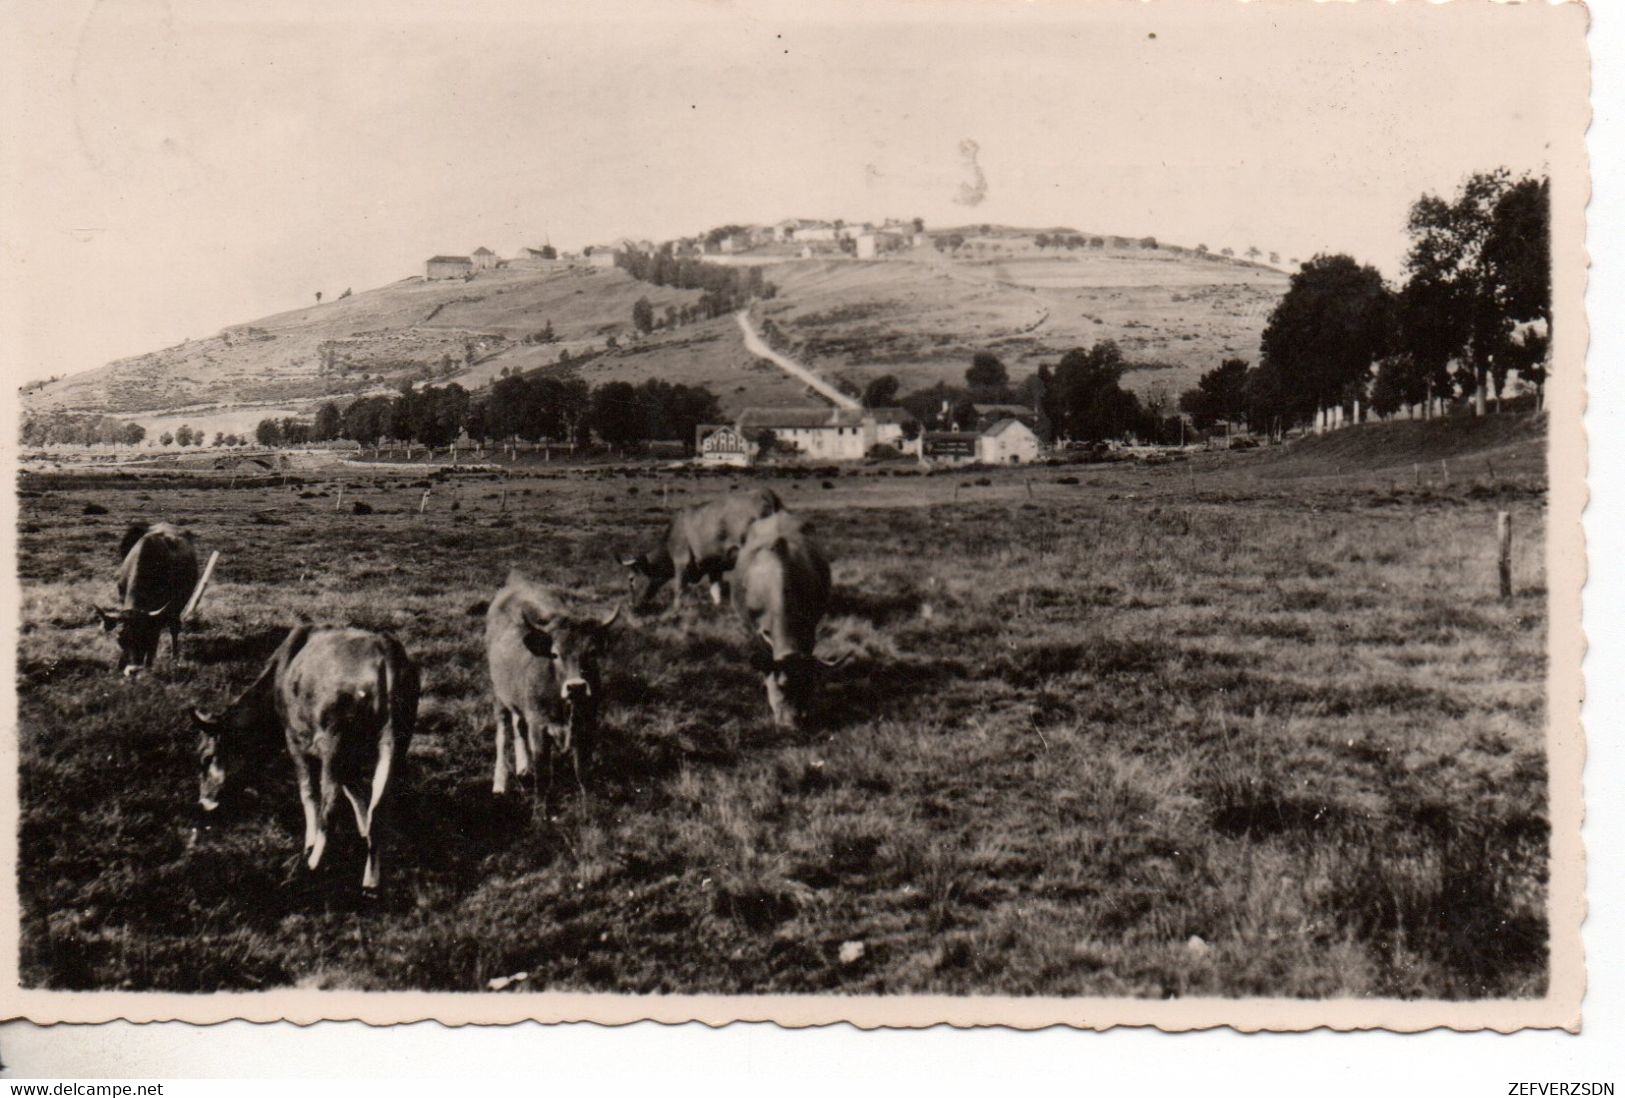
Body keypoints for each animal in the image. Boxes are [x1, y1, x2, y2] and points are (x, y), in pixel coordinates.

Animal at [95, 519, 200, 672]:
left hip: (178, 607)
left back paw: (174, 656)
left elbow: (155, 638)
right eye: (121, 640)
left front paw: (149, 663)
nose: (132, 669)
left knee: (174, 628)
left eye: (145, 639)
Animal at [190, 626, 422, 890]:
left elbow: (309, 793)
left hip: (335, 741)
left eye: (206, 758)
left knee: (329, 805)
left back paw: (313, 863)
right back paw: (371, 880)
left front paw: (309, 844)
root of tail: (386, 649)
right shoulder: (348, 759)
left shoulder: (297, 741)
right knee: (382, 803)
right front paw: (363, 835)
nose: (203, 803)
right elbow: (357, 794)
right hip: (395, 741)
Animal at [484, 571, 617, 802]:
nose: (576, 687)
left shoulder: (587, 726)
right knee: (502, 734)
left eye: (592, 652)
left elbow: (584, 775)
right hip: (498, 693)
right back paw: (500, 783)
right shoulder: (539, 728)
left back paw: (523, 766)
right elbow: (544, 778)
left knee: (518, 722)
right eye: (554, 654)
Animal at [617, 487, 783, 613]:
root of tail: (763, 493)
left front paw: (675, 612)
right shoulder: (715, 567)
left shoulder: (682, 562)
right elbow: (716, 592)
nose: (630, 606)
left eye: (631, 579)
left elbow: (679, 589)